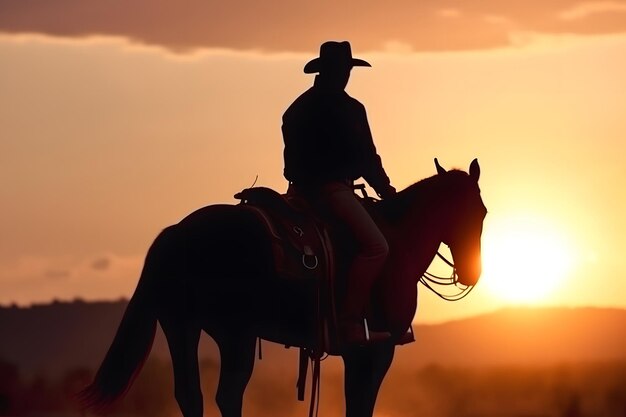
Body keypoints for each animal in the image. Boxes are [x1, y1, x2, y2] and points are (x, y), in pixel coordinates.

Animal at [80, 158, 486, 416]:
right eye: (479, 211)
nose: (472, 273)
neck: (397, 239)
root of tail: (178, 233)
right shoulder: (377, 350)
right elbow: (360, 406)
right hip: (235, 335)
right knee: (228, 396)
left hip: (182, 328)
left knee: (190, 395)